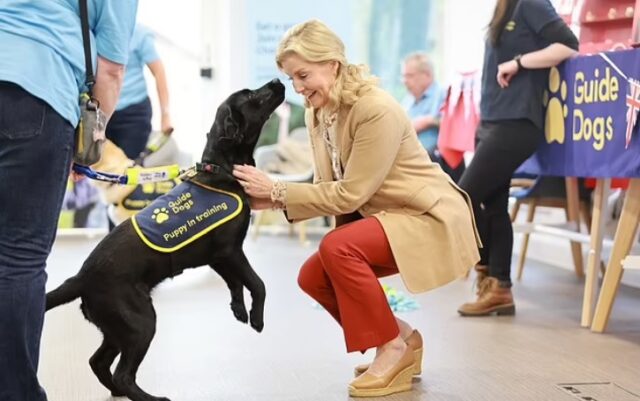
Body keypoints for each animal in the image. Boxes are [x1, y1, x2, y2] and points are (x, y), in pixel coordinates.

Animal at [48, 78, 288, 400]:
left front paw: (239, 310)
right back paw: (149, 397)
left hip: (117, 328)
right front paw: (257, 318)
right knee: (123, 373)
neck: (220, 170)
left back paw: (117, 391)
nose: (277, 80)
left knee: (98, 362)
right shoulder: (230, 251)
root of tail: (81, 278)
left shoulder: (218, 257)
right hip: (140, 322)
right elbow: (257, 283)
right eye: (251, 95)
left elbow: (236, 283)